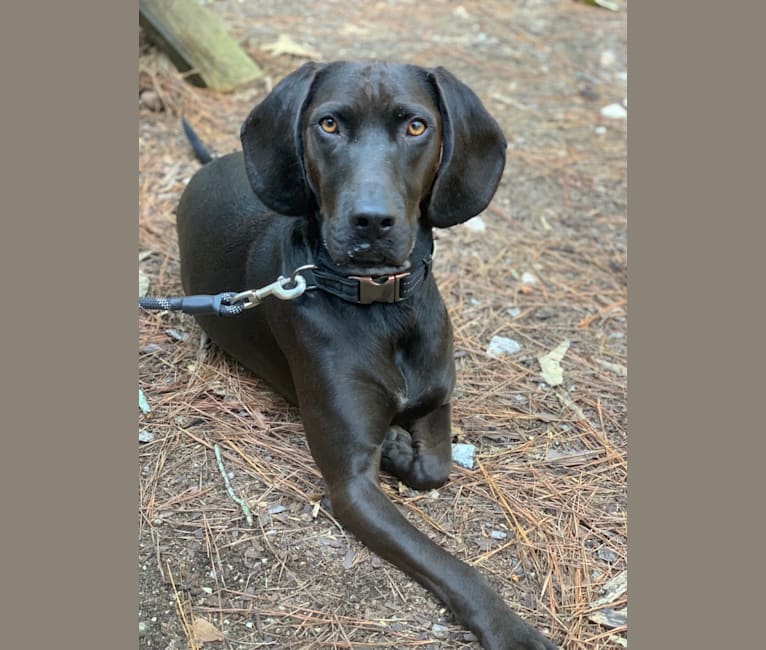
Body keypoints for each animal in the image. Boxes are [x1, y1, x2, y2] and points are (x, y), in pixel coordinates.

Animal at [174, 60, 560, 648]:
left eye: (417, 126)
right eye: (329, 124)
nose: (372, 222)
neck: (381, 304)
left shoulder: (437, 395)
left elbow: (438, 466)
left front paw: (402, 450)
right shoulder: (351, 485)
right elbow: (452, 566)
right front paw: (511, 629)